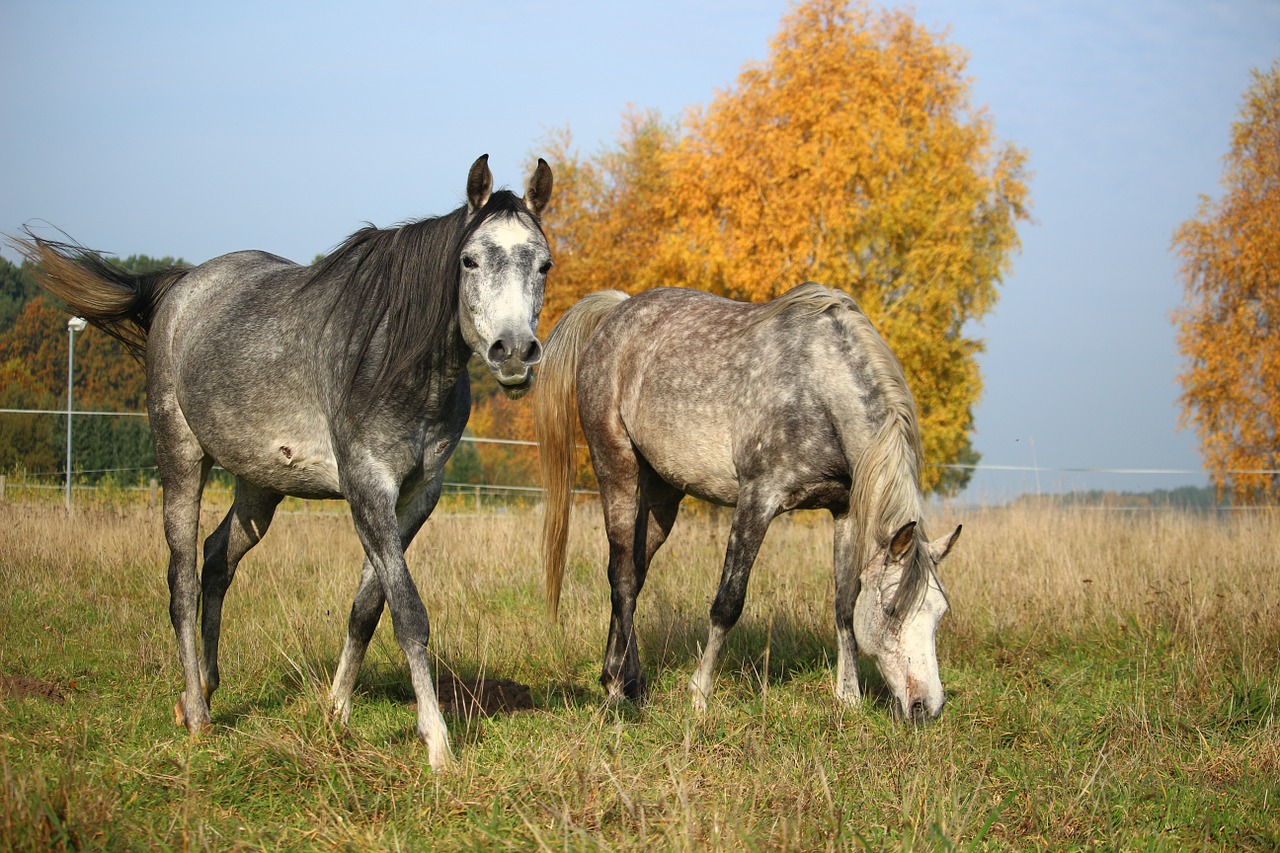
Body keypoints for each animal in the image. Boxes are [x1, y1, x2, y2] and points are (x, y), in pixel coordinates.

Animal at [15, 156, 552, 768]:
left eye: (543, 264)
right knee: (181, 578)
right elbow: (407, 611)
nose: (514, 353)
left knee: (217, 559)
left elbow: (368, 607)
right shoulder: (367, 488)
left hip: (259, 487)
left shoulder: (418, 496)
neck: (393, 357)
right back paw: (196, 715)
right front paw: (438, 743)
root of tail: (181, 289)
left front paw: (336, 712)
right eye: (469, 260)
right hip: (180, 458)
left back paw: (204, 688)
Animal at [532, 284, 962, 717]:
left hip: (663, 492)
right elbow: (727, 603)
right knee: (621, 575)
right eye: (891, 609)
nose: (926, 706)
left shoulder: (845, 512)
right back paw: (620, 689)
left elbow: (845, 605)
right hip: (615, 467)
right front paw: (699, 695)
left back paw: (624, 679)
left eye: (940, 613)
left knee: (633, 574)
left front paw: (849, 697)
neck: (818, 388)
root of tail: (616, 310)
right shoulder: (757, 500)